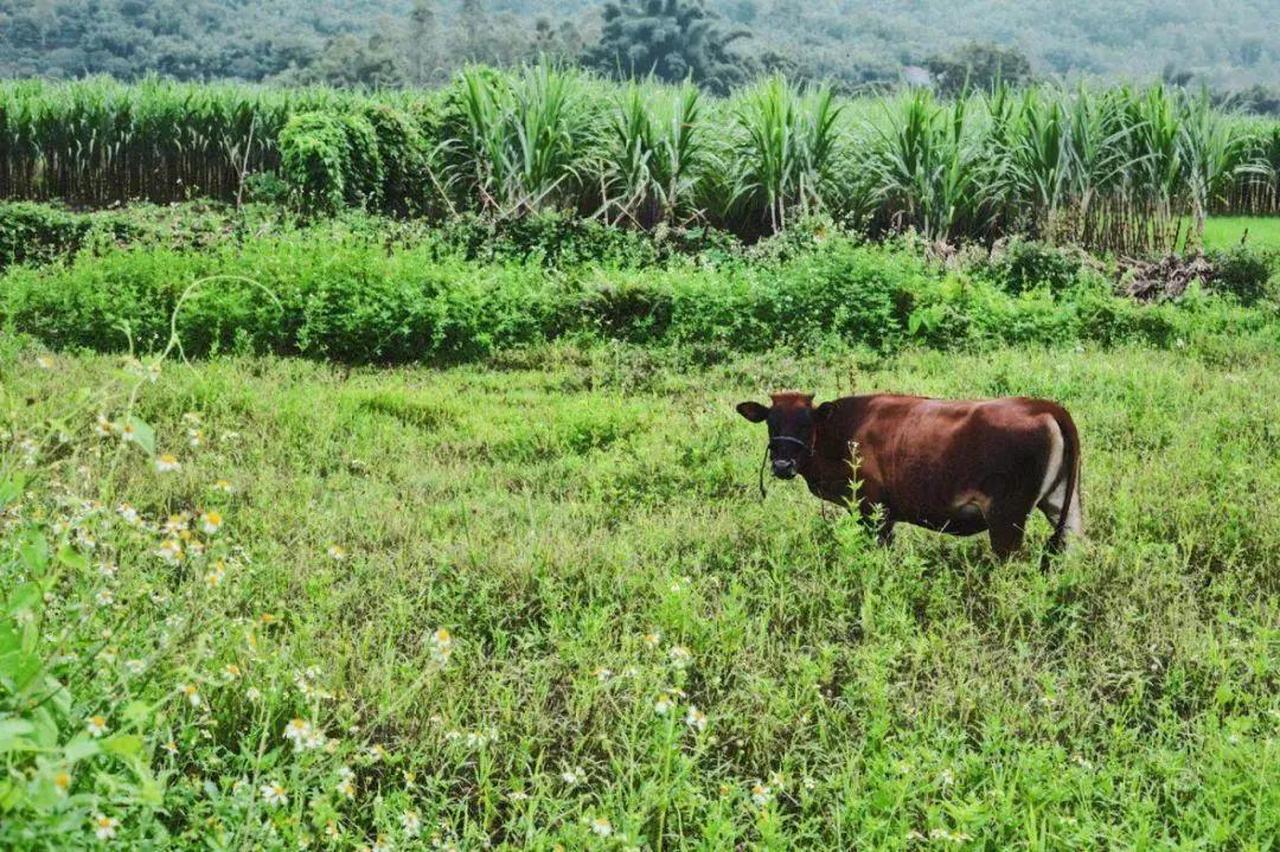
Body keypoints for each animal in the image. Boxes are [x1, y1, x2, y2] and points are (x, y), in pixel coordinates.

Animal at [742, 388, 1080, 555]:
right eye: (772, 423)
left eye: (805, 423)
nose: (782, 465)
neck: (842, 431)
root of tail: (1044, 406)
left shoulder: (873, 509)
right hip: (1064, 503)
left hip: (1006, 517)